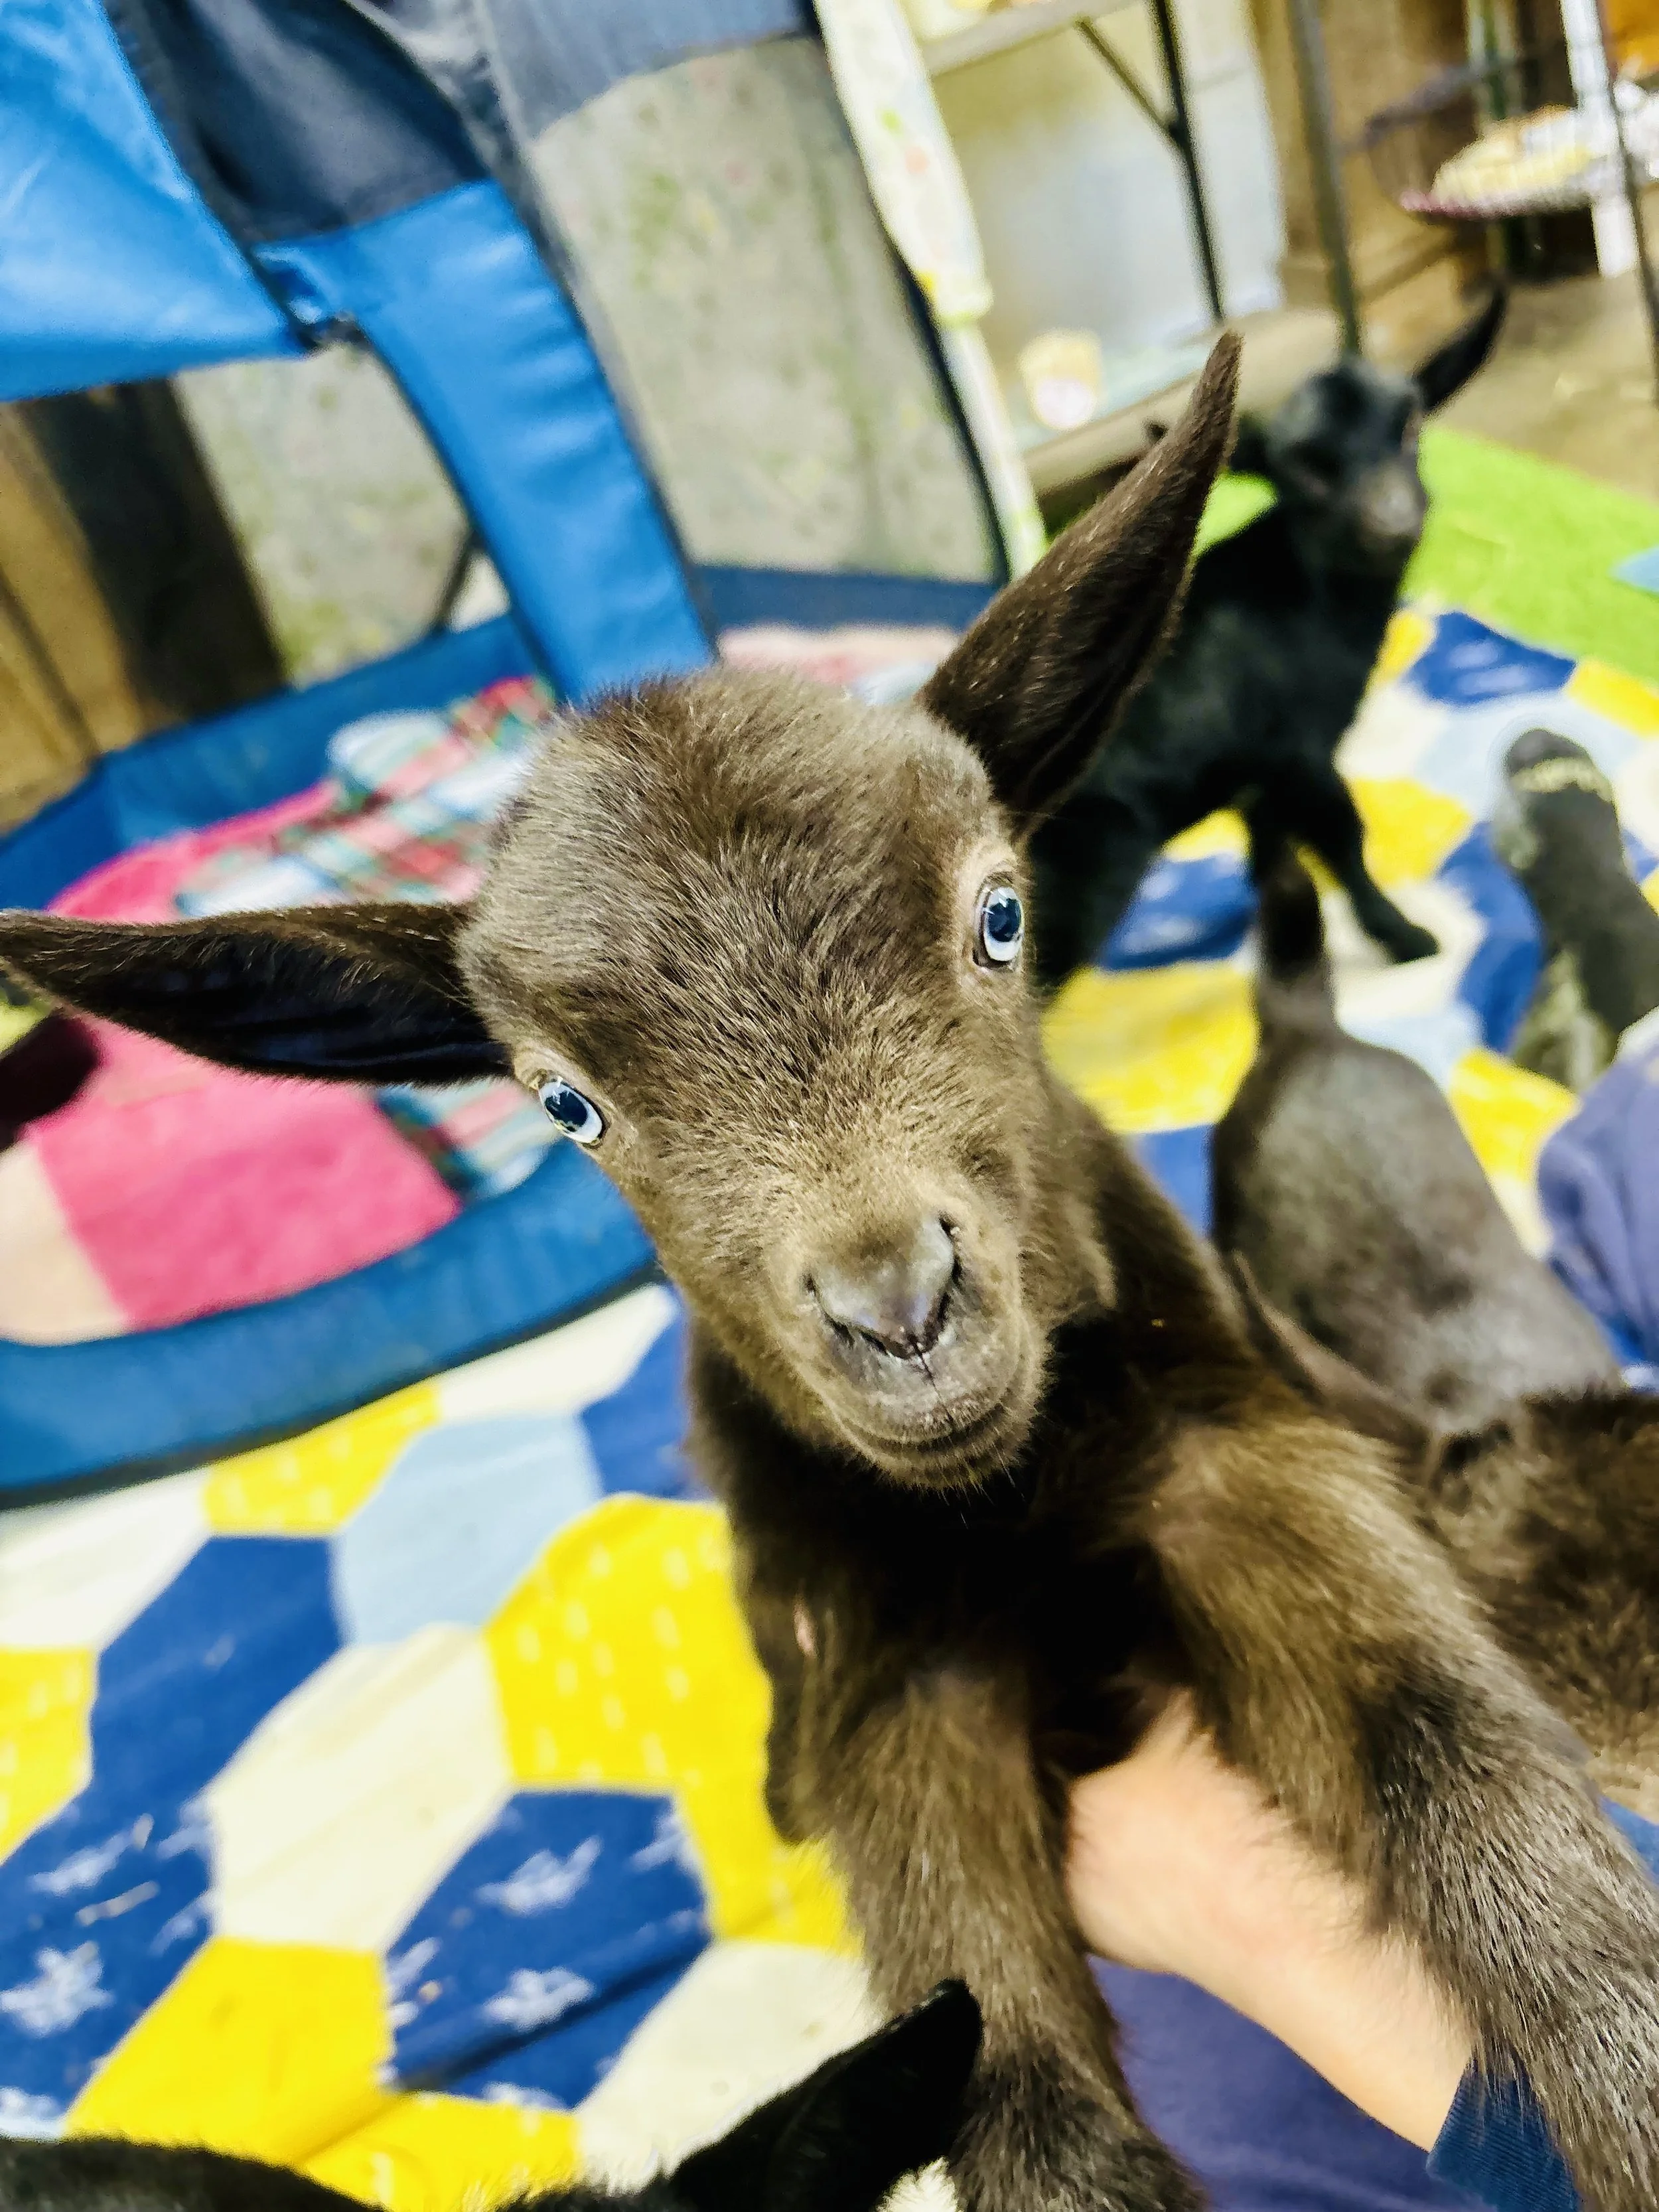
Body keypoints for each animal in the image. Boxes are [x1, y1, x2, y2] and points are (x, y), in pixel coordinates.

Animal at [1028, 288, 1507, 989]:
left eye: (1411, 426)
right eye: (1305, 470)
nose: (1392, 521)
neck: (1309, 595)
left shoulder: (1261, 771)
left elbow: (1272, 843)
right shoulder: (1301, 754)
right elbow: (1344, 839)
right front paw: (1406, 940)